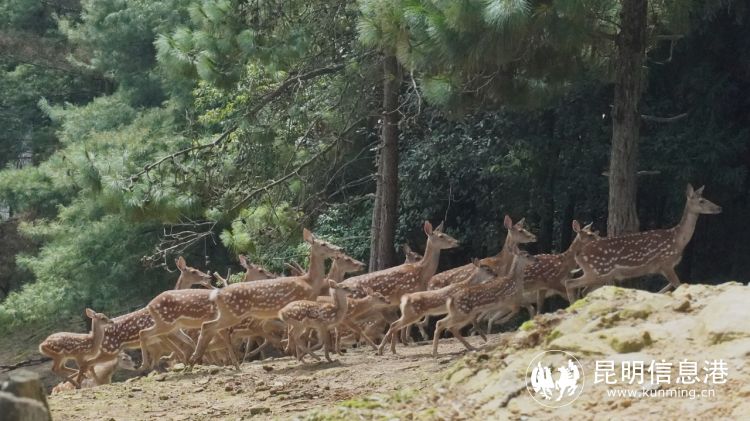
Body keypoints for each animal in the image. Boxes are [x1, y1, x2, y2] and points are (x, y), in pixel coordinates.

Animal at [189, 228, 343, 368]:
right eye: (323, 243)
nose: (340, 248)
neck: (309, 282)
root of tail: (217, 294)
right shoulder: (299, 303)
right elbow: (298, 333)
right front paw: (300, 355)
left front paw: (298, 355)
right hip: (233, 313)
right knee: (210, 327)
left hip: (230, 314)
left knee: (211, 328)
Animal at [564, 184, 722, 301]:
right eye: (702, 201)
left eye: (704, 198)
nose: (719, 208)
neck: (677, 239)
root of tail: (579, 255)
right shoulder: (665, 262)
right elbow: (678, 284)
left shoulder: (663, 267)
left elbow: (673, 285)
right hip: (598, 270)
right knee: (571, 284)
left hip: (600, 274)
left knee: (582, 290)